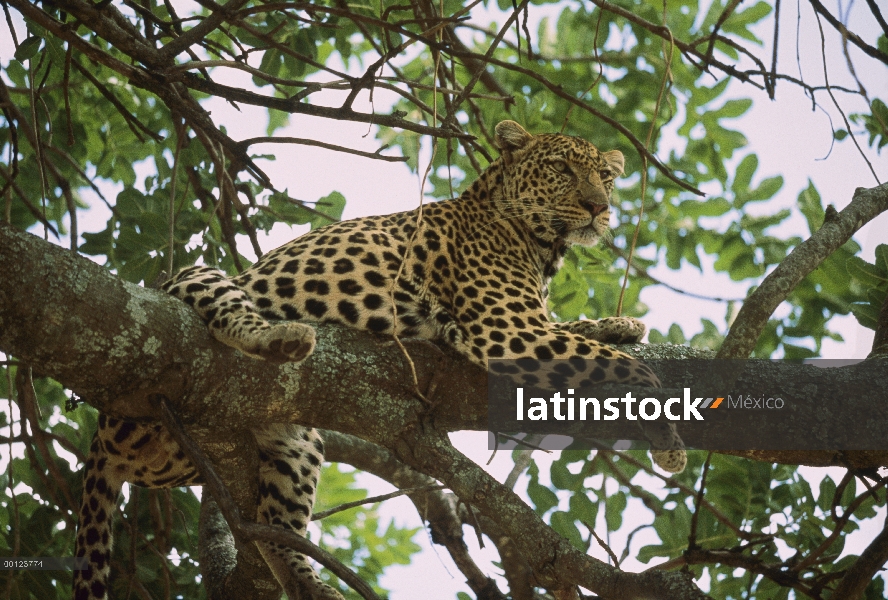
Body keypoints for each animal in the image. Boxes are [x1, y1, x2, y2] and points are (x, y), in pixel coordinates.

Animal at [74, 119, 688, 596]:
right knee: (228, 309)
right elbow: (622, 365)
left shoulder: (523, 324)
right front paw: (669, 436)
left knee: (277, 534)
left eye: (605, 177)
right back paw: (285, 338)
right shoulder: (506, 328)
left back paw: (316, 586)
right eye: (561, 167)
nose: (598, 207)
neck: (539, 244)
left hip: (298, 442)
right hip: (191, 278)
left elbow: (581, 334)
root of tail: (102, 437)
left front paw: (620, 323)